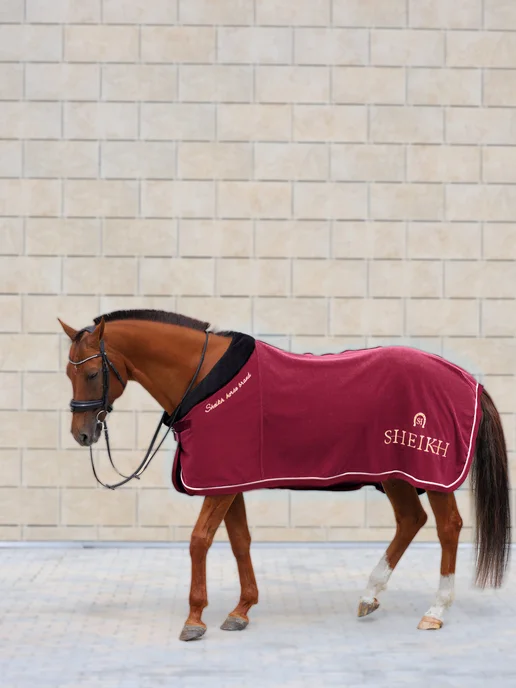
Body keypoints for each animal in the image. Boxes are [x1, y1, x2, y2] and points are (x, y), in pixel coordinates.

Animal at [59, 309, 511, 641]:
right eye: (68, 373)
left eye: (94, 373)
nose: (82, 434)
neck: (203, 377)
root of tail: (465, 379)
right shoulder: (229, 481)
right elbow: (239, 541)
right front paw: (241, 610)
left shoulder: (219, 483)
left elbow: (200, 540)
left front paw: (194, 619)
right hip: (395, 474)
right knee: (410, 520)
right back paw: (370, 595)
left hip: (431, 474)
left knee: (448, 527)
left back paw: (436, 610)